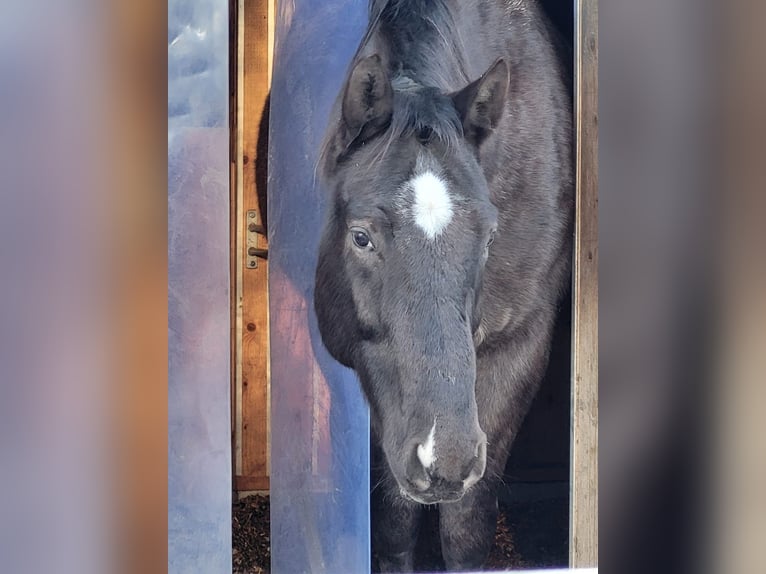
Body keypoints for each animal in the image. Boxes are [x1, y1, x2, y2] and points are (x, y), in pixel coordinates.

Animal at [313, 0, 573, 570]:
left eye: (490, 235)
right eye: (361, 237)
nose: (444, 455)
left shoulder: (517, 349)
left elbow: (466, 527)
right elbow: (393, 518)